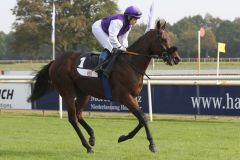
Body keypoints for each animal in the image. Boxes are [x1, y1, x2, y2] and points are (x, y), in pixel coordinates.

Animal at [28, 20, 180, 153]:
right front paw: (152, 144)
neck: (131, 63)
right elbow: (143, 118)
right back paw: (87, 146)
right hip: (67, 91)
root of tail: (54, 61)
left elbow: (142, 118)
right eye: (163, 39)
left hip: (84, 92)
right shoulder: (125, 96)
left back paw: (92, 137)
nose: (177, 58)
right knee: (72, 118)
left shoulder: (133, 97)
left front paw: (123, 137)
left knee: (78, 114)